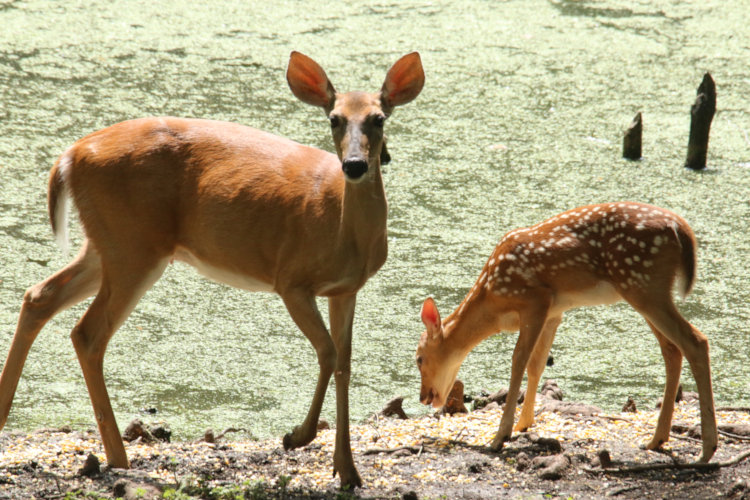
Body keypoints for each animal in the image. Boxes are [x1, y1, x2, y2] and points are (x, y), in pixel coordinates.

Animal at [0, 51, 425, 488]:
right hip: (134, 247)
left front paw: (348, 469)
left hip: (107, 245)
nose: (355, 166)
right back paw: (119, 458)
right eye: (334, 119)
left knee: (39, 295)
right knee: (87, 332)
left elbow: (345, 362)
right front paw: (297, 437)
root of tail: (69, 156)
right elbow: (327, 351)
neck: (339, 226)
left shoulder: (346, 288)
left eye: (379, 118)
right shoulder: (291, 279)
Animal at [416, 202, 717, 463]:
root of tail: (681, 227)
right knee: (672, 349)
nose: (423, 397)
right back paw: (657, 440)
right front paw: (525, 424)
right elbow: (537, 364)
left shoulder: (535, 301)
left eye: (418, 358)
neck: (493, 299)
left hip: (642, 282)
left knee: (696, 341)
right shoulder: (554, 312)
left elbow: (518, 361)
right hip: (644, 289)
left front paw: (500, 436)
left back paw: (707, 449)